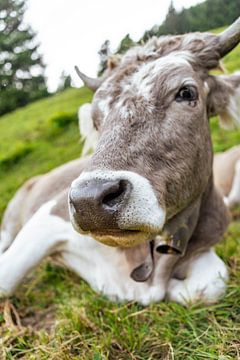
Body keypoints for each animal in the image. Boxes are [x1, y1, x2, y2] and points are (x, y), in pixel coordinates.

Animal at [0, 18, 240, 306]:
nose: (89, 200)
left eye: (186, 92)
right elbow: (5, 281)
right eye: (95, 119)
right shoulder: (50, 214)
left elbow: (210, 284)